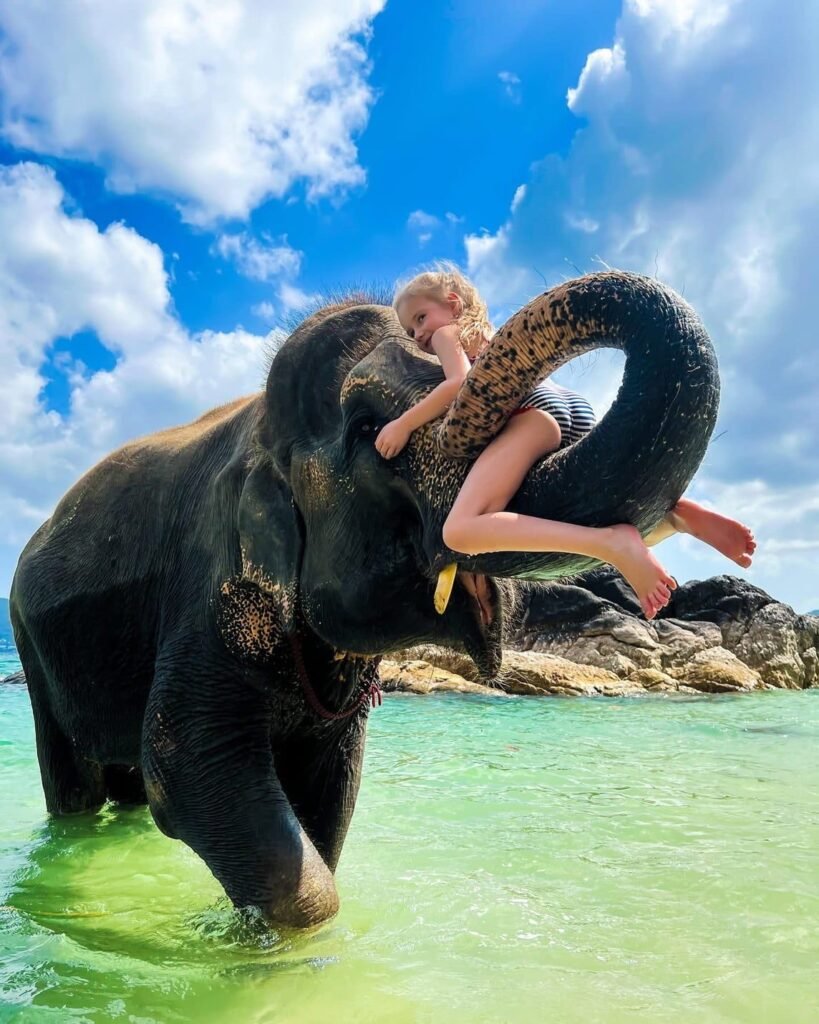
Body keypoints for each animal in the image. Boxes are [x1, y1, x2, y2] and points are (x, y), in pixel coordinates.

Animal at [10, 271, 719, 928]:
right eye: (369, 428)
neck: (259, 429)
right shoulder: (208, 585)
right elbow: (183, 765)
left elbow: (330, 794)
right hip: (29, 643)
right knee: (76, 786)